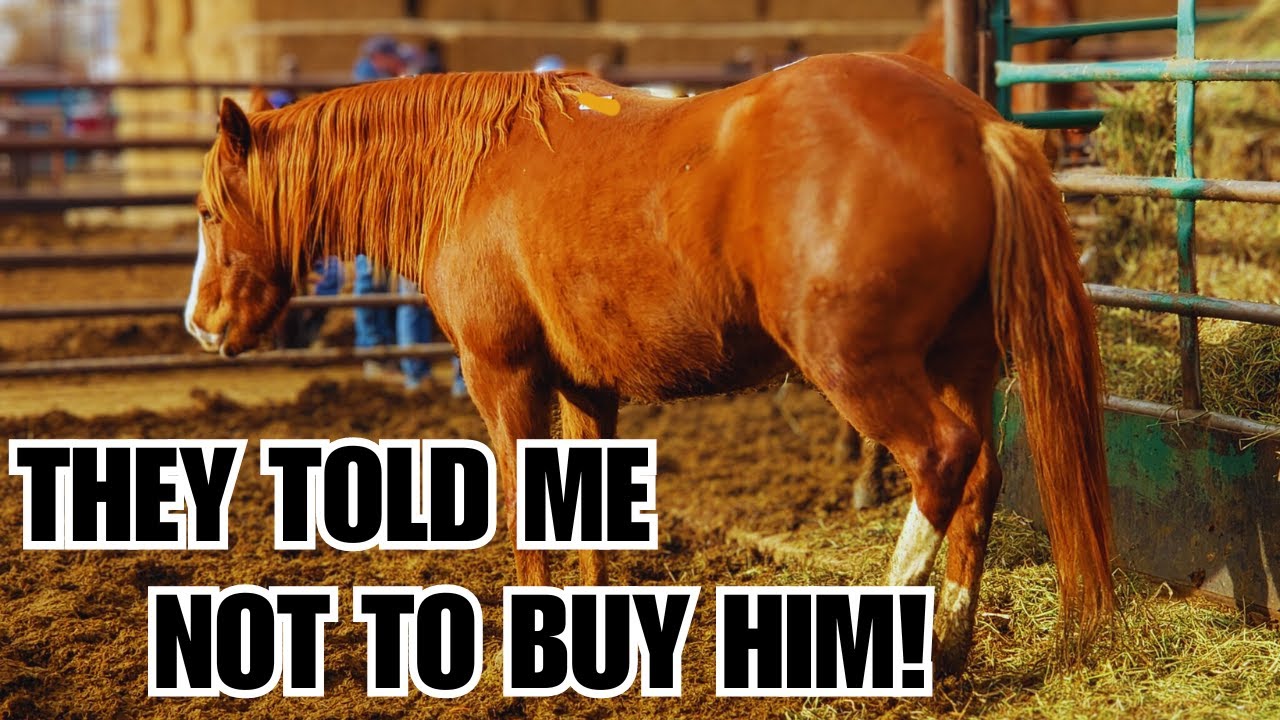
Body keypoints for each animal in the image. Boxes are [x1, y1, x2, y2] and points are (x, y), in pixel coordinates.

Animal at [185, 53, 1114, 673]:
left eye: (206, 210)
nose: (200, 325)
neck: (476, 169)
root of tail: (973, 122)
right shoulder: (586, 389)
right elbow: (583, 511)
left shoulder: (503, 376)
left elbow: (527, 508)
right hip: (960, 359)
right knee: (982, 476)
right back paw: (950, 643)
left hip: (863, 370)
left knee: (940, 460)